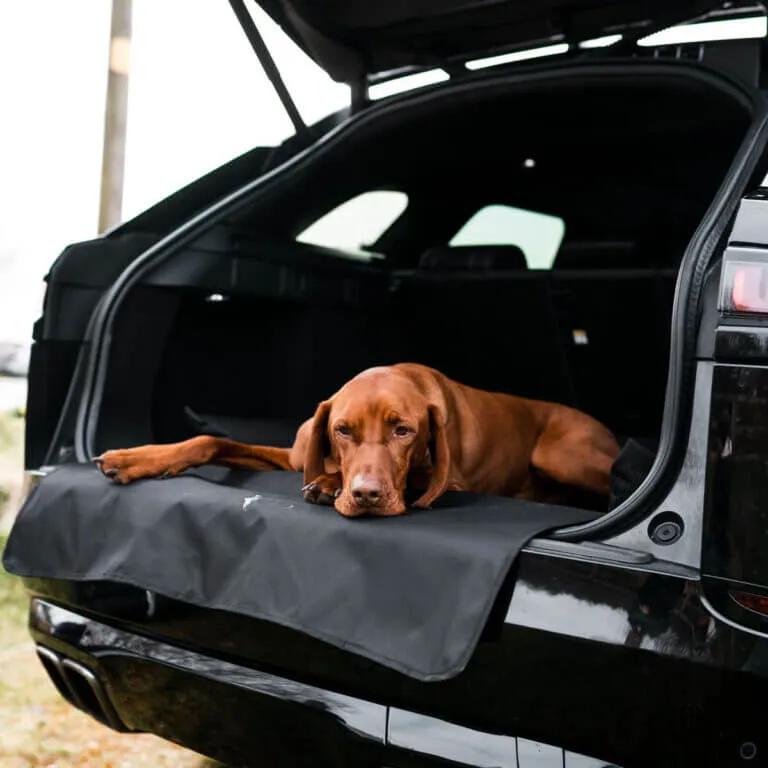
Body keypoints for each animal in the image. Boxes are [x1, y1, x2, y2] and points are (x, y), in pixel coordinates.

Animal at [97, 364, 624, 516]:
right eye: (342, 429)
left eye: (404, 430)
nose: (367, 495)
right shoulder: (294, 455)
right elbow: (207, 439)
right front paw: (134, 458)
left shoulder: (448, 483)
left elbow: (416, 483)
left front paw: (329, 486)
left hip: (562, 454)